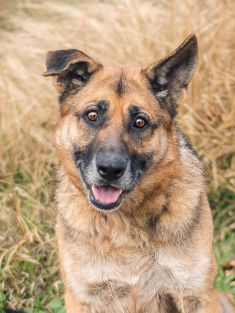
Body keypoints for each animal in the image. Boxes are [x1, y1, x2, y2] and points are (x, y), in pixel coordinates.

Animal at [43, 34, 225, 312]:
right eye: (92, 115)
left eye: (140, 122)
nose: (110, 169)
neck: (124, 223)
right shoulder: (83, 298)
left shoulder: (196, 295)